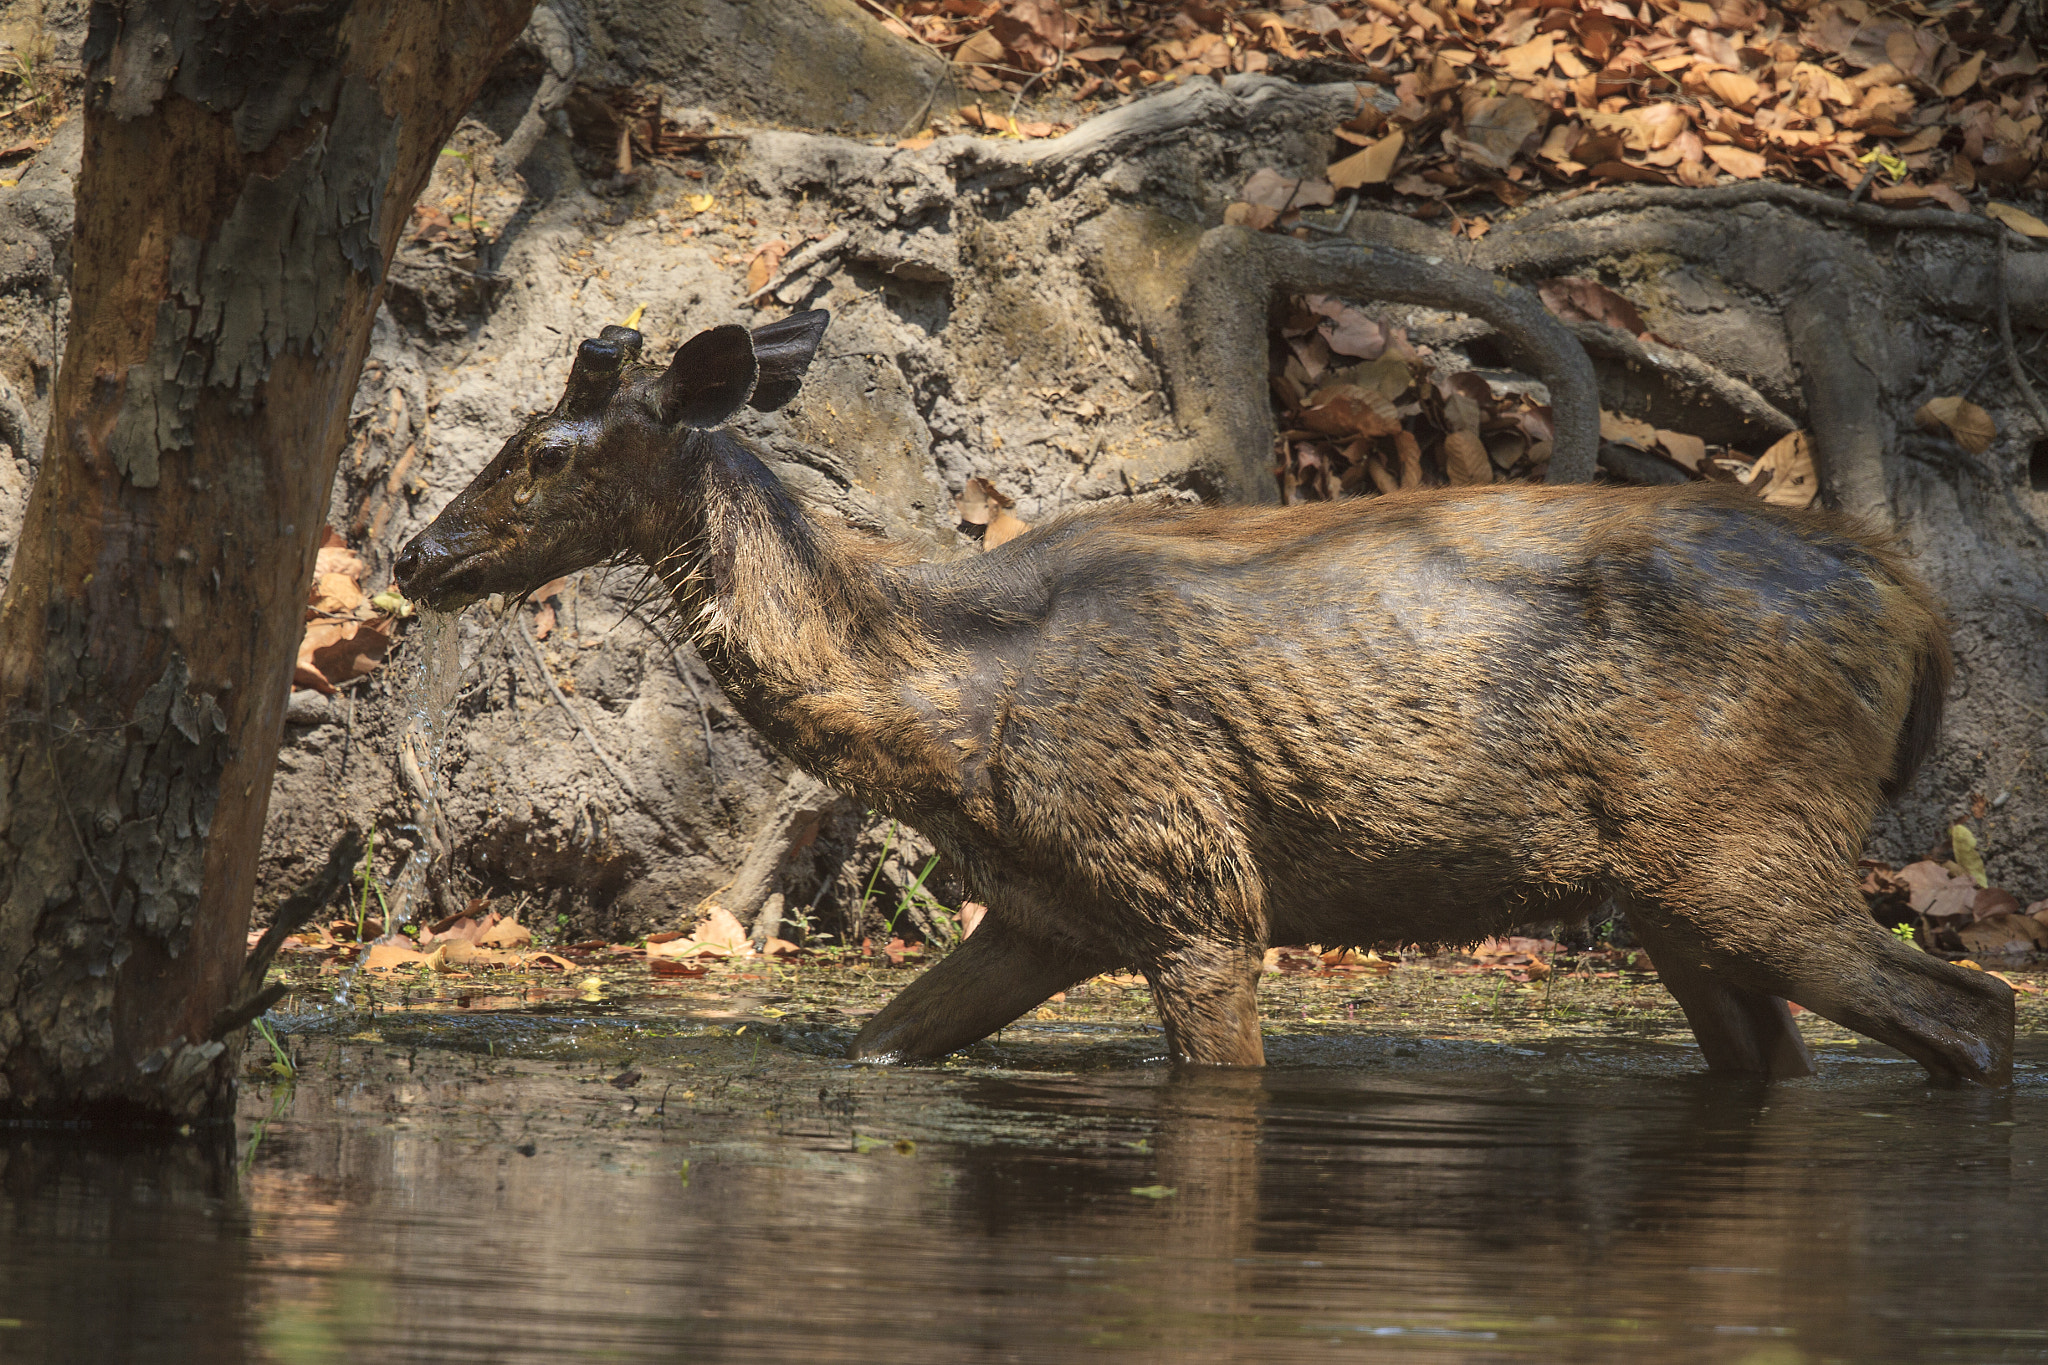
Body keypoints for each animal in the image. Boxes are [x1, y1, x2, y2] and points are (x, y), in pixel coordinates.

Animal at [395, 309, 2015, 1088]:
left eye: (545, 450)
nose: (417, 553)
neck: (943, 711)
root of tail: (1915, 613)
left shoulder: (1188, 880)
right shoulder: (1049, 912)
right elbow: (874, 1042)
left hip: (1747, 844)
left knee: (1977, 1007)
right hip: (1682, 891)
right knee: (1787, 1054)